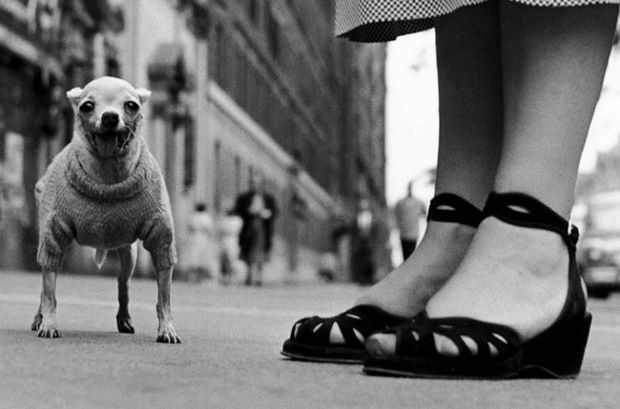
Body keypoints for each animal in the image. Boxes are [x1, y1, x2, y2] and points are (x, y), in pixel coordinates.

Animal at [32, 75, 179, 342]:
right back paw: (38, 318)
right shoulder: (52, 238)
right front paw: (47, 323)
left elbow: (164, 296)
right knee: (45, 282)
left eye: (131, 105)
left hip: (128, 252)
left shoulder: (161, 239)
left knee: (123, 283)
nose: (110, 116)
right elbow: (49, 291)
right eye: (87, 106)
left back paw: (124, 318)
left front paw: (167, 328)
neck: (107, 175)